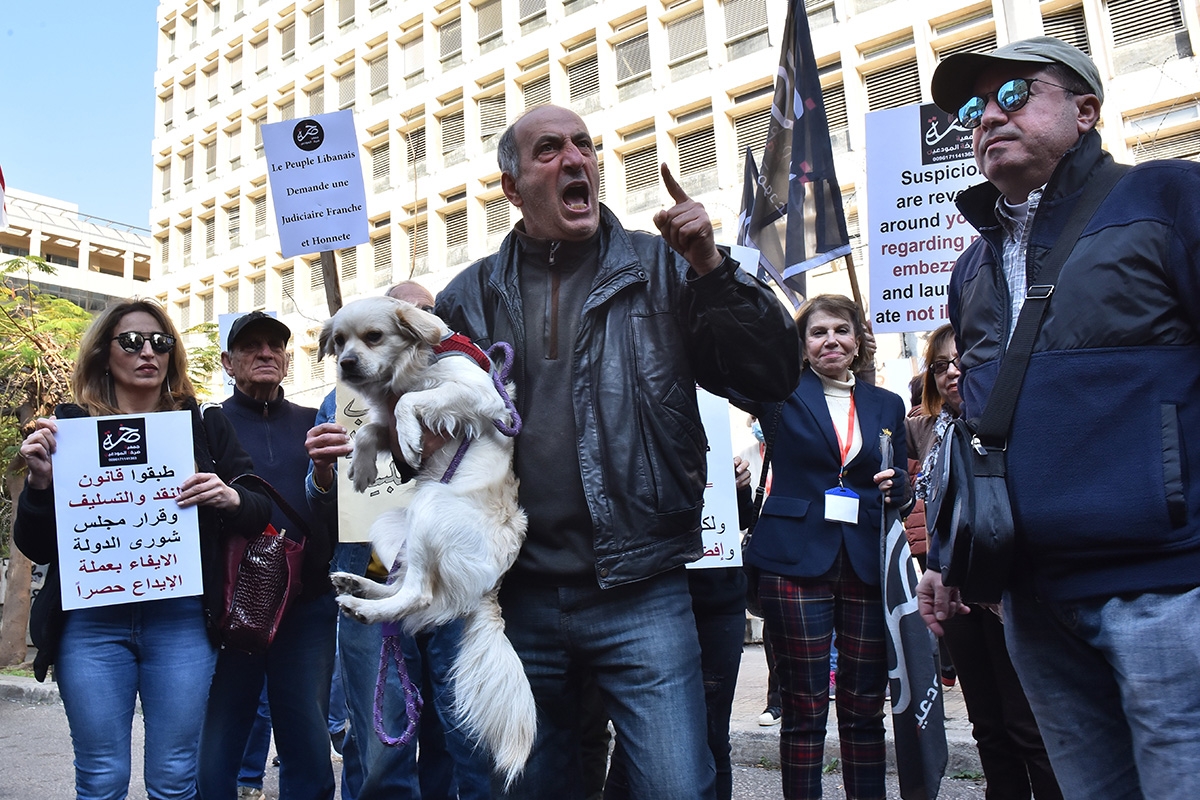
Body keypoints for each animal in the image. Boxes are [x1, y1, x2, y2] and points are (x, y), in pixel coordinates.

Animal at [324, 297, 535, 786]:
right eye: (338, 341)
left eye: (374, 337)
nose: (346, 364)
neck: (417, 362)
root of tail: (491, 586)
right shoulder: (381, 417)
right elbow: (371, 429)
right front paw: (363, 467)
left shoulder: (481, 395)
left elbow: (409, 403)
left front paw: (409, 434)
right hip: (393, 526)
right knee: (407, 590)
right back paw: (358, 588)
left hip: (431, 507)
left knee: (419, 595)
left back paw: (363, 608)